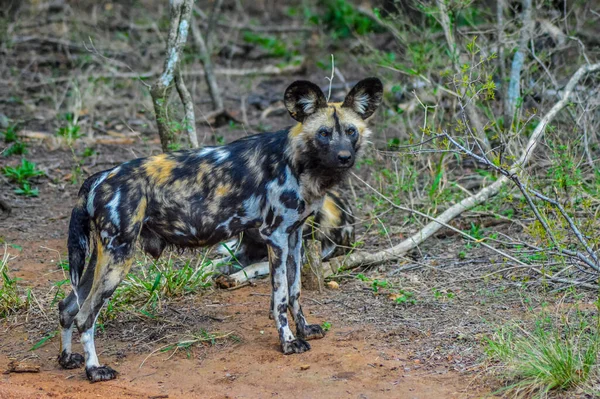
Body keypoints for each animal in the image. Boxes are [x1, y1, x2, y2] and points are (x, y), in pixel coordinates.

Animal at [57, 77, 384, 382]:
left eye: (351, 131)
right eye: (324, 134)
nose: (344, 157)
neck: (300, 162)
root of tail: (102, 175)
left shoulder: (294, 238)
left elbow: (295, 291)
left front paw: (304, 329)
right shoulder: (276, 237)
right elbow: (279, 298)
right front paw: (289, 342)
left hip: (102, 257)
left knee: (68, 306)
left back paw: (68, 359)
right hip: (119, 258)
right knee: (85, 316)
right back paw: (94, 369)